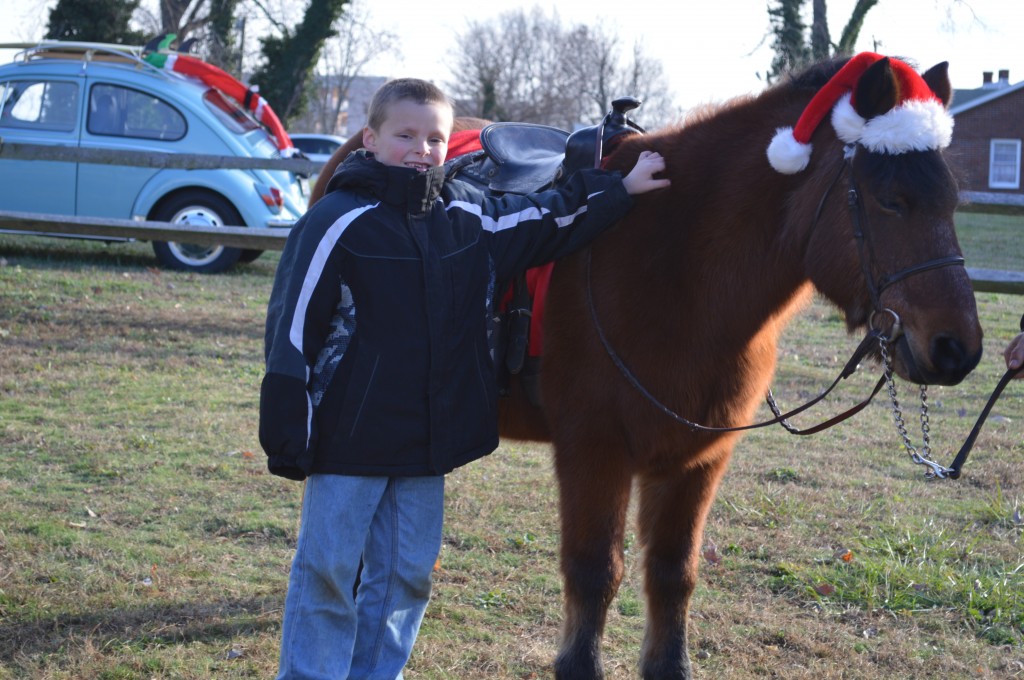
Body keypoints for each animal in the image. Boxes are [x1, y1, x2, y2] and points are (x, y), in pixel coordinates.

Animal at [308, 55, 983, 679]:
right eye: (891, 201)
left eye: (953, 203)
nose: (959, 349)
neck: (676, 264)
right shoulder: (594, 450)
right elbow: (594, 570)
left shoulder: (695, 460)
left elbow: (672, 572)